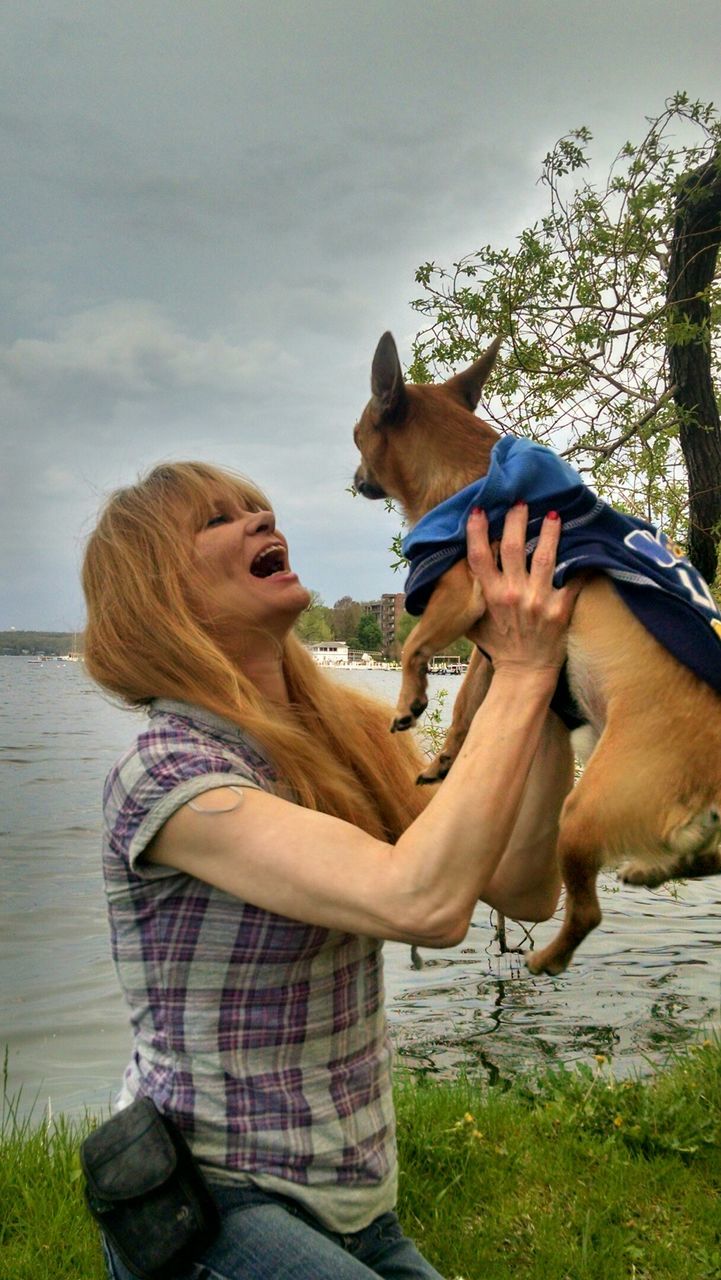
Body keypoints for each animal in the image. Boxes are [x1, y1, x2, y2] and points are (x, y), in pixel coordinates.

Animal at [353, 330, 721, 967]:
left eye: (357, 435)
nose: (354, 478)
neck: (470, 475)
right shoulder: (487, 645)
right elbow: (465, 703)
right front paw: (444, 757)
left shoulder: (460, 593)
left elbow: (413, 646)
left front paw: (407, 703)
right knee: (707, 856)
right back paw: (652, 869)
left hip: (582, 813)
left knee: (588, 911)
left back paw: (549, 958)